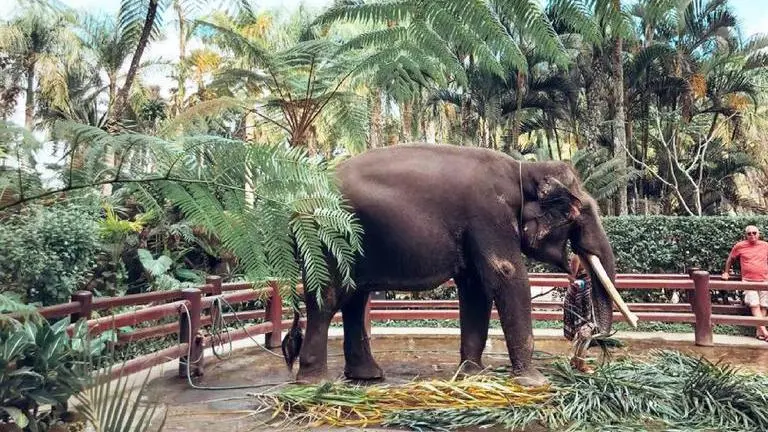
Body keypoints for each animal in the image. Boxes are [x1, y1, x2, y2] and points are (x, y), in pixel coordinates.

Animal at [281, 144, 636, 387]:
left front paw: (471, 374)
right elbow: (506, 275)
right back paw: (314, 383)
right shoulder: (488, 214)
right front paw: (534, 382)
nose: (584, 353)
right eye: (577, 213)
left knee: (355, 298)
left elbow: (476, 288)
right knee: (328, 296)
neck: (524, 169)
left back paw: (367, 377)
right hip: (324, 239)